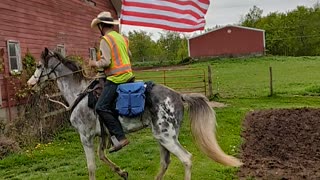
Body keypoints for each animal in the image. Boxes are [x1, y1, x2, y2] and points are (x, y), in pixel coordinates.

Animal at [27, 48, 241, 180]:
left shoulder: (85, 137)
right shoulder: (103, 135)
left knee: (186, 159)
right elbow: (103, 156)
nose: (30, 83)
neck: (79, 93)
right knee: (166, 162)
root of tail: (179, 96)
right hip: (162, 137)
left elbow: (91, 166)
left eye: (38, 66)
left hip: (166, 137)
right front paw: (122, 172)